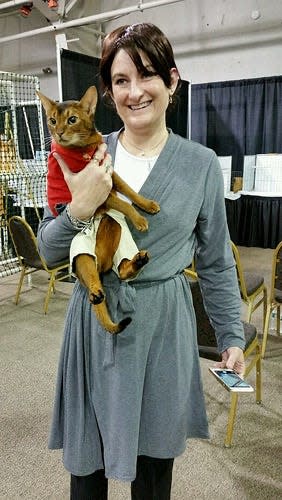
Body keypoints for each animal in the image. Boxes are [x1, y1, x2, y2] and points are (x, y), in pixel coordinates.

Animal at [37, 86, 160, 334]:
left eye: (72, 120)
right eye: (52, 121)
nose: (59, 134)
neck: (84, 147)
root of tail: (101, 261)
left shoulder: (110, 173)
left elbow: (129, 192)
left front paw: (147, 205)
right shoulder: (100, 191)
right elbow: (123, 202)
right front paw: (140, 219)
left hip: (119, 236)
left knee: (121, 270)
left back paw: (137, 262)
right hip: (81, 254)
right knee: (92, 280)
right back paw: (96, 293)